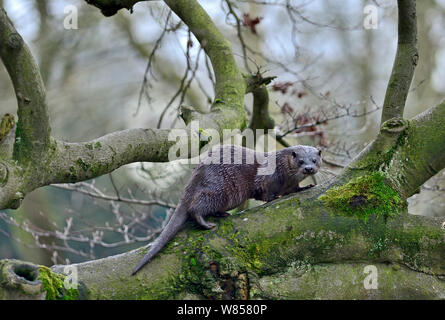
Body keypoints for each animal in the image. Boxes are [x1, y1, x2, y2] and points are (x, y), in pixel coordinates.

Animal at [130, 144, 320, 274]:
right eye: (300, 160)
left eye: (315, 160)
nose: (309, 168)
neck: (282, 170)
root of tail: (194, 176)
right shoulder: (266, 178)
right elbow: (265, 193)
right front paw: (273, 198)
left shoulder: (290, 184)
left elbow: (293, 189)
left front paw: (305, 187)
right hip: (218, 190)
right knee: (195, 208)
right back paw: (206, 223)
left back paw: (222, 214)